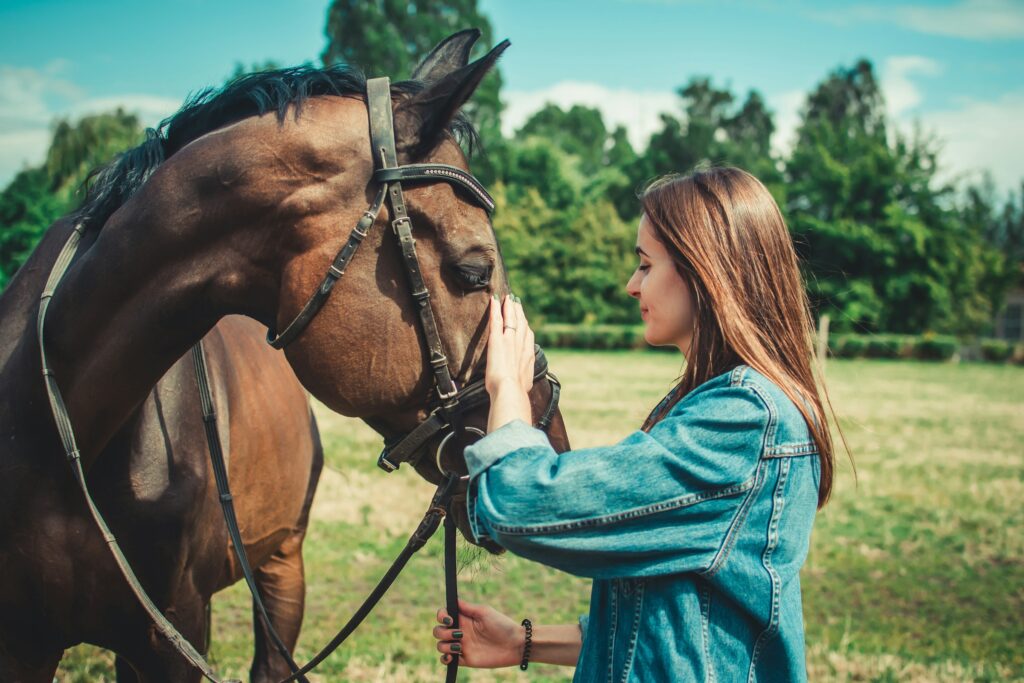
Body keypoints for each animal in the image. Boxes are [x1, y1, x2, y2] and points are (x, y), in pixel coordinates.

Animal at [0, 29, 568, 682]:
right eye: (472, 270)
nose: (552, 441)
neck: (59, 429)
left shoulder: (170, 634)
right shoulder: (25, 642)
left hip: (283, 564)